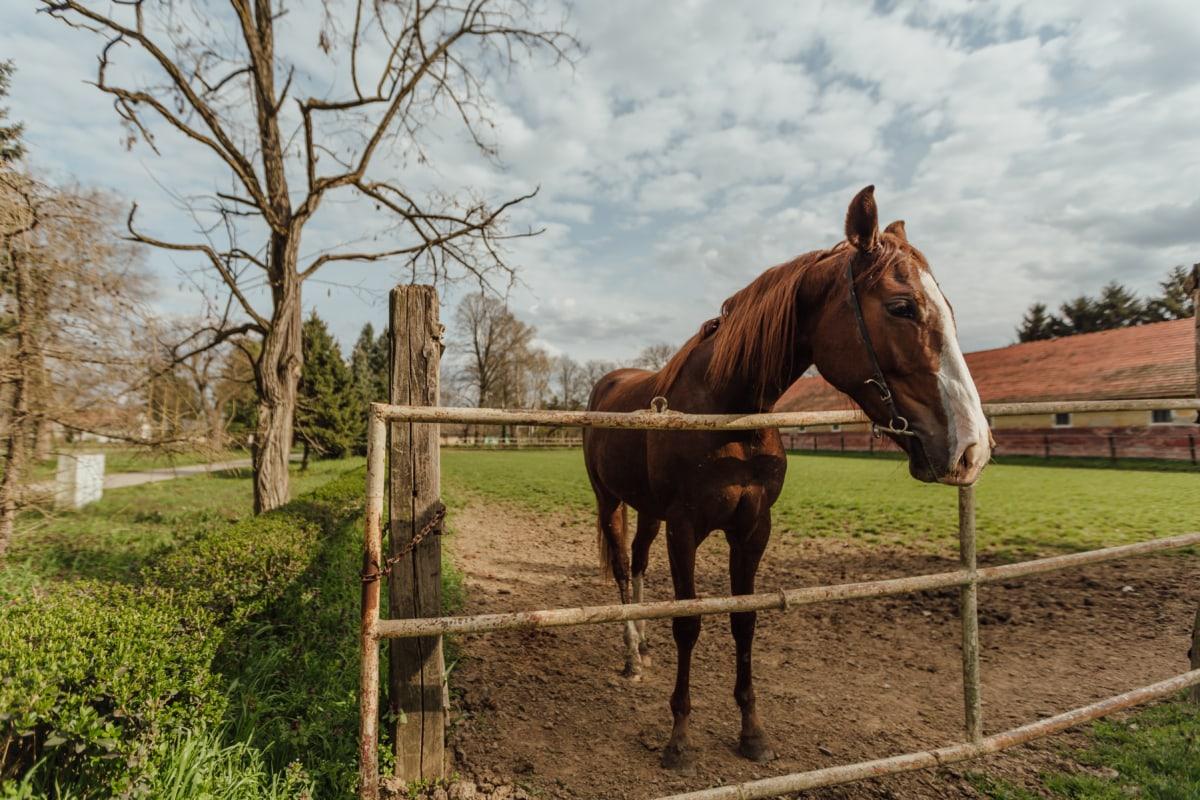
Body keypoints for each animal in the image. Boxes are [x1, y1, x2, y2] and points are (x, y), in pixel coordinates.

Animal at [583, 184, 993, 772]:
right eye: (902, 306)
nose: (971, 448)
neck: (729, 410)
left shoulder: (753, 528)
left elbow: (744, 621)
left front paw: (752, 732)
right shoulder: (685, 529)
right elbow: (689, 623)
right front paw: (679, 738)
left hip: (647, 511)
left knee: (637, 565)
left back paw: (642, 649)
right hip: (610, 501)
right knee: (620, 570)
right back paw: (631, 655)